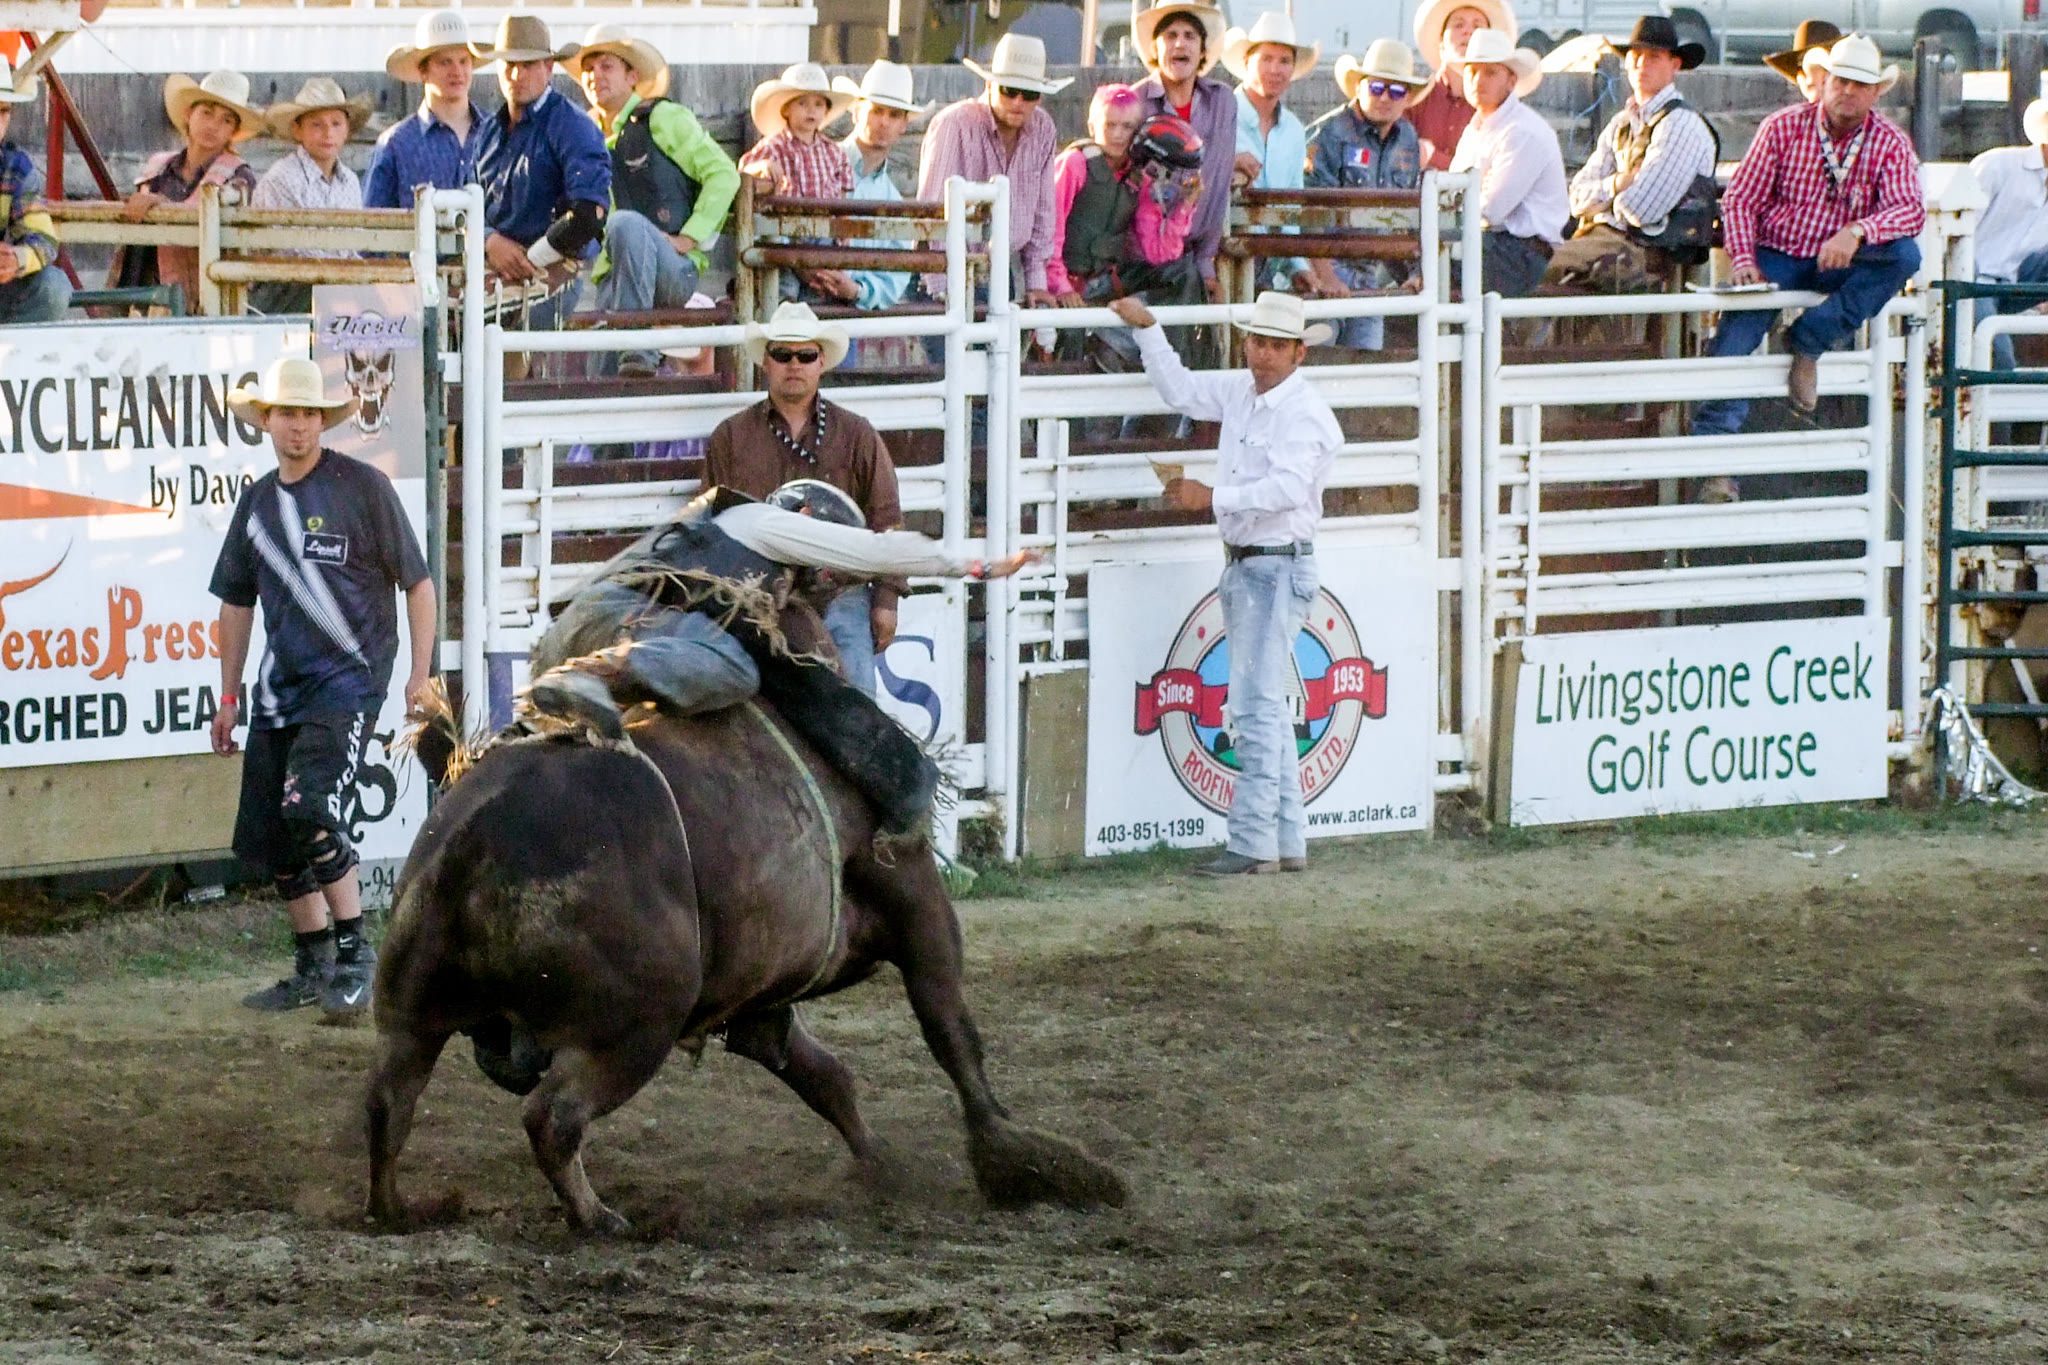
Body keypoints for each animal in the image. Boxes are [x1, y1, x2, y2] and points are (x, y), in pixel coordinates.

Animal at [366, 700, 1128, 1234]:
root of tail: (472, 836)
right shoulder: (916, 901)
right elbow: (950, 1030)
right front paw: (1023, 1158)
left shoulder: (761, 998)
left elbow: (820, 1073)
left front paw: (880, 1162)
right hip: (637, 1026)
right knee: (551, 1117)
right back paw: (597, 1217)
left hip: (414, 1012)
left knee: (390, 1099)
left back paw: (396, 1205)